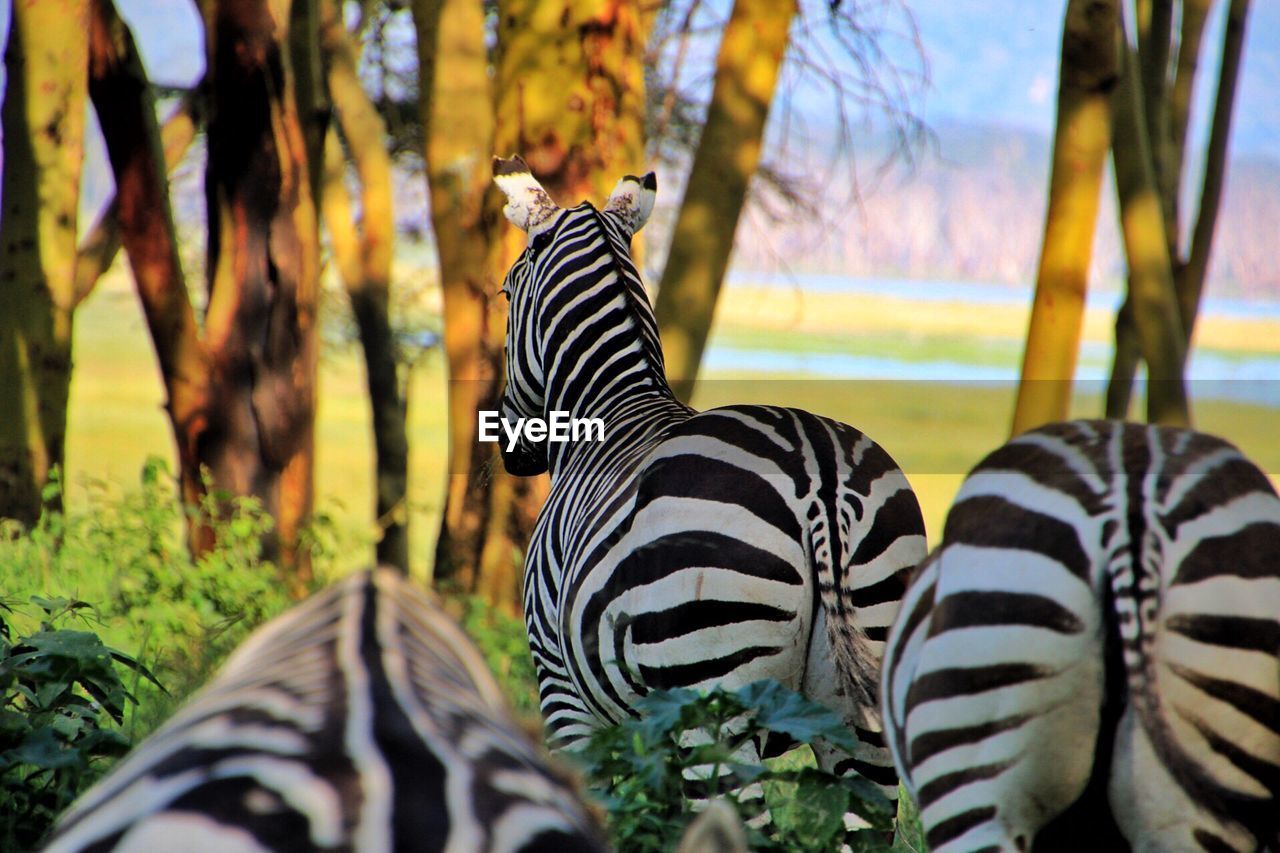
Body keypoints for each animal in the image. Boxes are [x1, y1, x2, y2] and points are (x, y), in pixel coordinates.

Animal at [491, 153, 931, 819]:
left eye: (506, 292)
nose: (513, 449)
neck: (612, 406)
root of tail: (818, 475)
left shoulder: (562, 694)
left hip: (710, 698)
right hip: (863, 715)